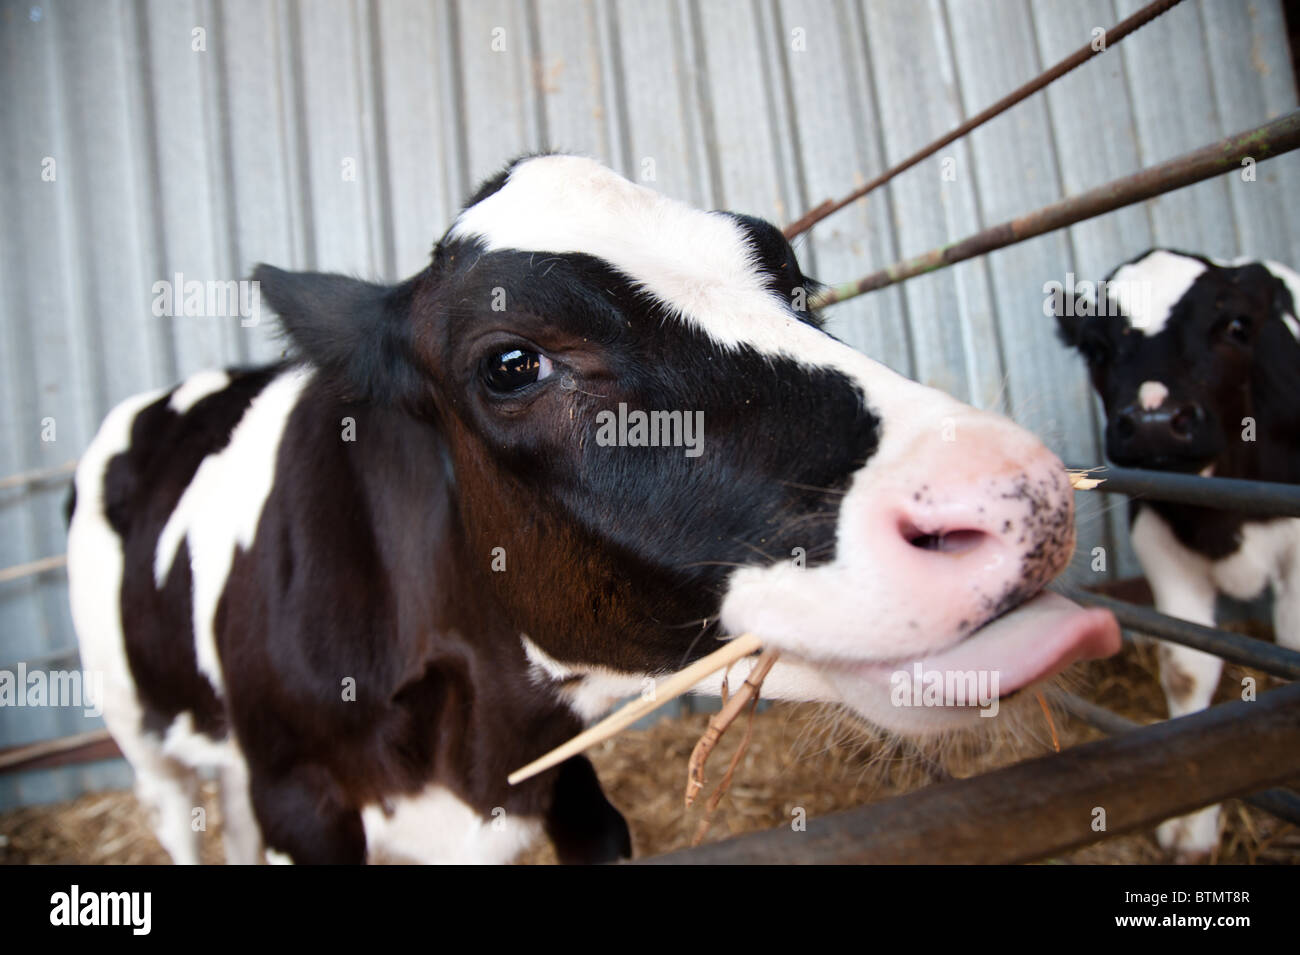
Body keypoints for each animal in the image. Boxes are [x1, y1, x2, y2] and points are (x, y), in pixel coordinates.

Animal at [68, 153, 1118, 862]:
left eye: (794, 281)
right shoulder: (300, 798)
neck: (473, 746)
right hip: (136, 723)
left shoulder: (570, 782)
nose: (1014, 493)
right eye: (510, 362)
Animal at [1055, 246, 1300, 857]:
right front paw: (1192, 829)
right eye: (1096, 346)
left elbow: (1291, 648)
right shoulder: (1158, 540)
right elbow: (1188, 671)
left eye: (1235, 326)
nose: (1154, 423)